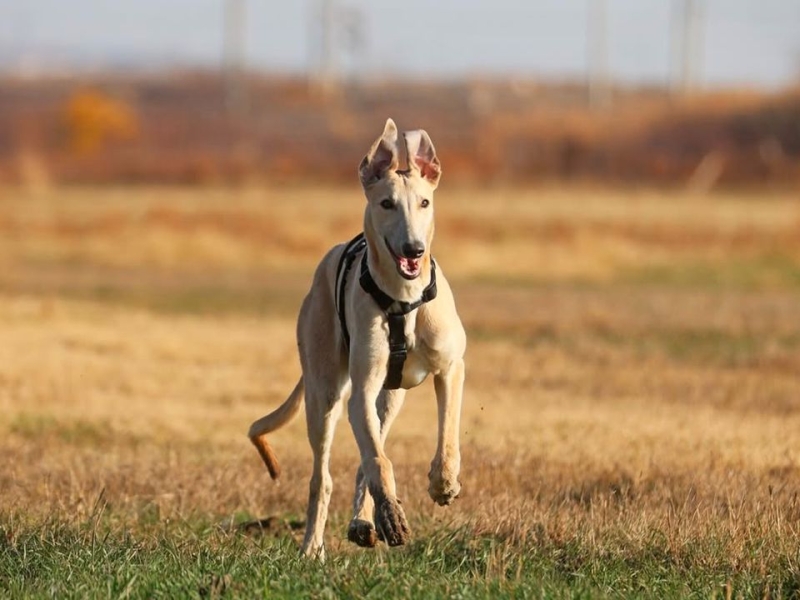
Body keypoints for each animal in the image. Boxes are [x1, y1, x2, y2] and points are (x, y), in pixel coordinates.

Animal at [247, 119, 466, 560]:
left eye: (424, 203)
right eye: (386, 204)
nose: (414, 249)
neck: (404, 298)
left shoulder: (452, 367)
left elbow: (447, 432)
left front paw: (443, 483)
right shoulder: (361, 388)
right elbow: (378, 461)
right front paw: (392, 515)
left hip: (390, 397)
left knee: (371, 449)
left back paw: (364, 520)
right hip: (325, 394)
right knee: (327, 474)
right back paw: (314, 545)